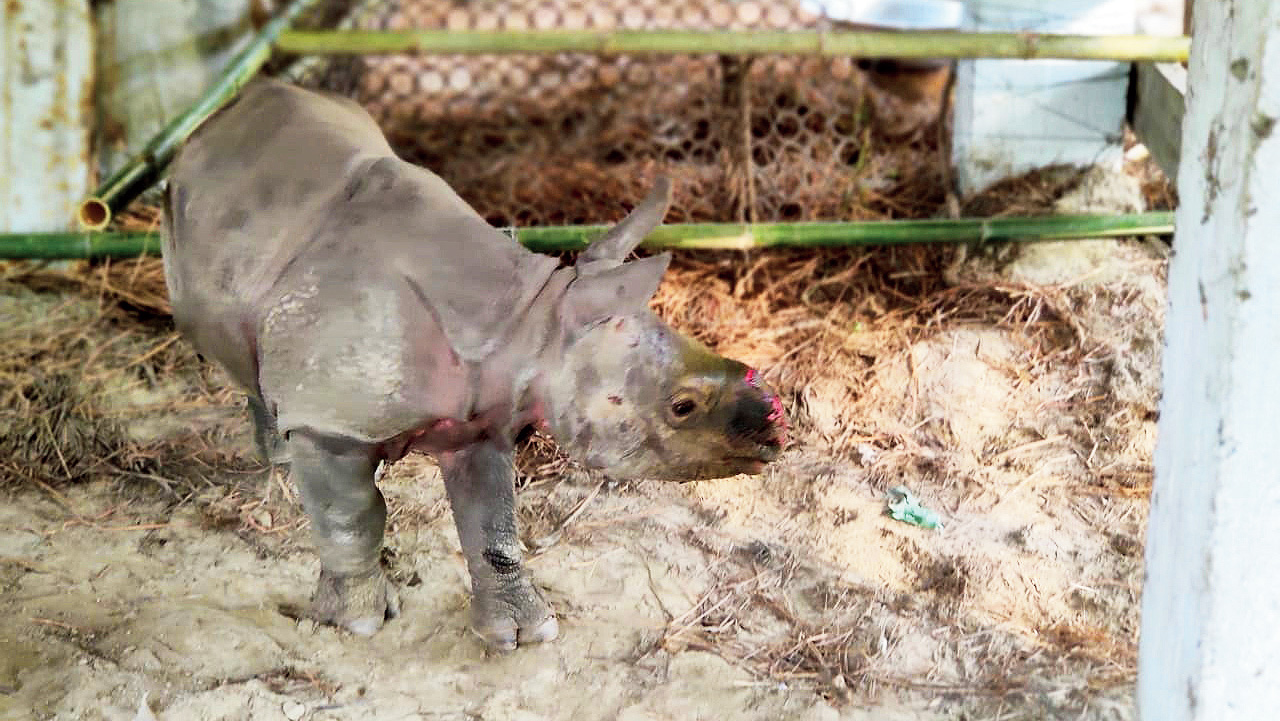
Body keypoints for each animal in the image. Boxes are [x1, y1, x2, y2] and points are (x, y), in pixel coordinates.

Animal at [161, 78, 787, 651]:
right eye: (682, 406)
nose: (775, 435)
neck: (529, 320)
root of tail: (224, 116)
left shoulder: (486, 414)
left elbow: (495, 526)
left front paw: (522, 635)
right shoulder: (330, 421)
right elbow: (351, 519)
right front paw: (356, 623)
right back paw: (275, 452)